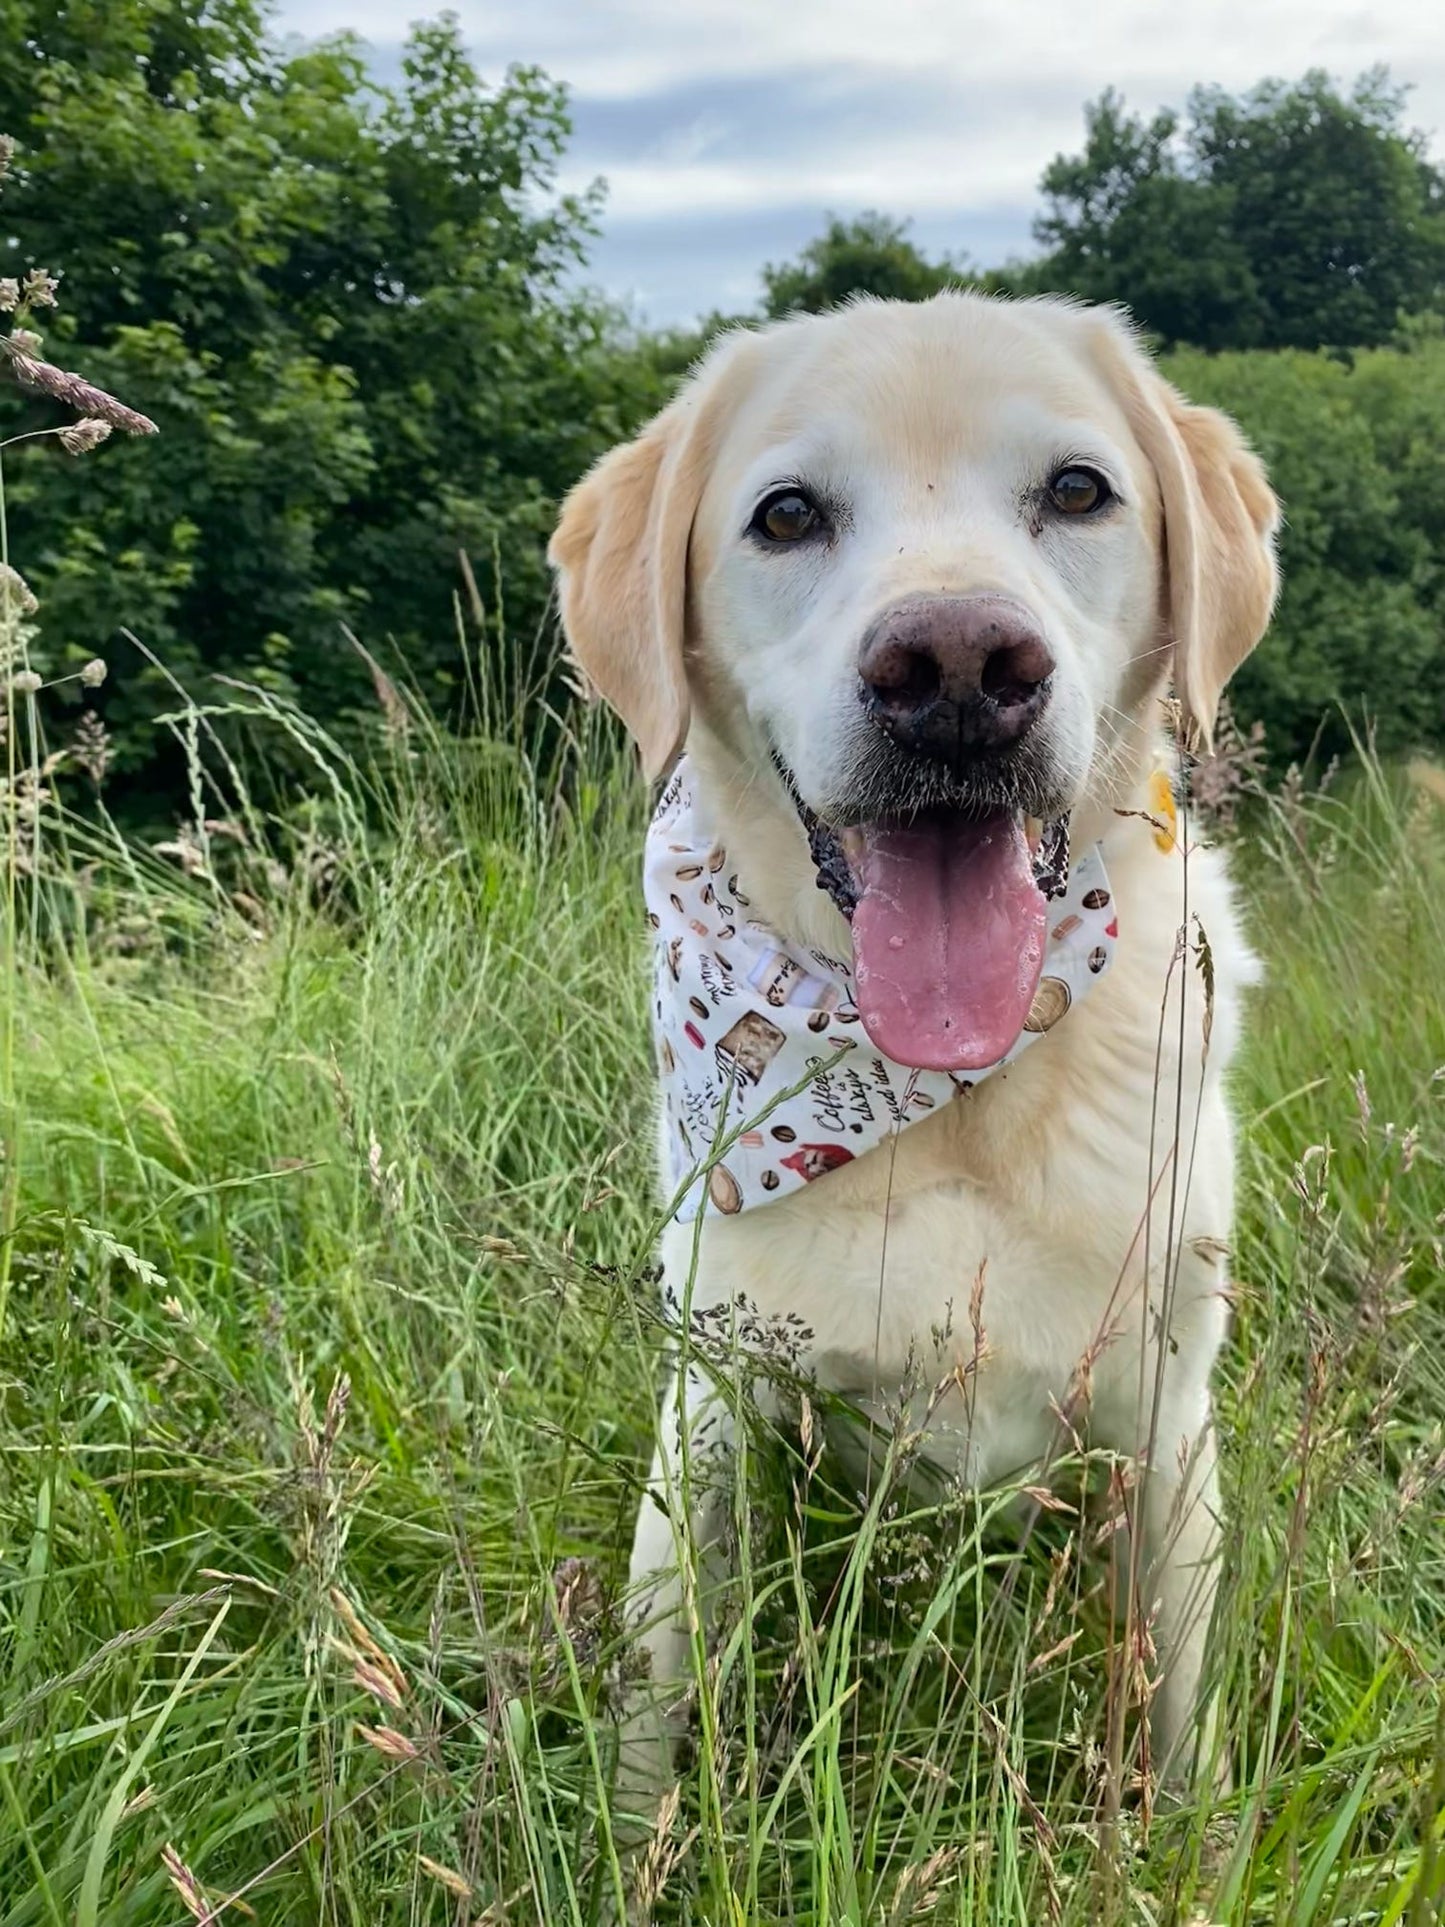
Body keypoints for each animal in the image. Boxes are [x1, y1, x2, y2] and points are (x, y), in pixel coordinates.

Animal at [547, 289, 1279, 1803]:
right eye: (783, 515)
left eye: (1078, 490)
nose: (953, 668)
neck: (948, 1094)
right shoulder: (708, 1416)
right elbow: (656, 1711)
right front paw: (636, 1837)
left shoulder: (1164, 1425)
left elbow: (1181, 1723)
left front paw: (1186, 1836)